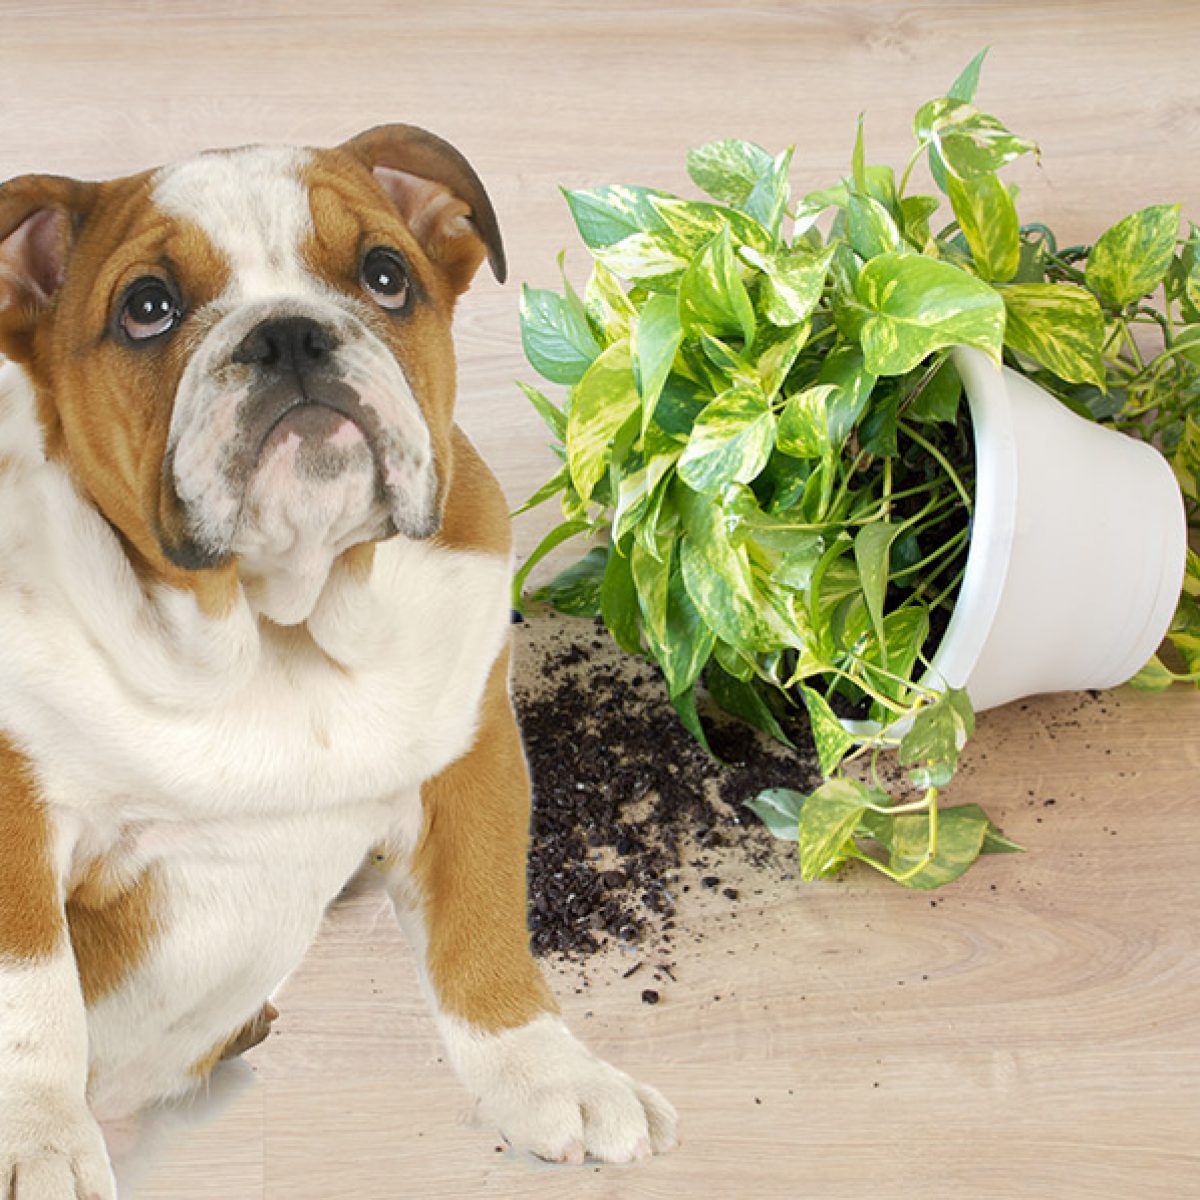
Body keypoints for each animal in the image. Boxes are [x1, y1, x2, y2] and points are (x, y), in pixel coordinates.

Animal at [0, 121, 676, 1190]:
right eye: (148, 308)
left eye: (385, 274)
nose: (287, 333)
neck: (276, 626)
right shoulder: (13, 817)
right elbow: (30, 993)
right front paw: (39, 1143)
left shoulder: (468, 760)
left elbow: (483, 930)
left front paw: (552, 1078)